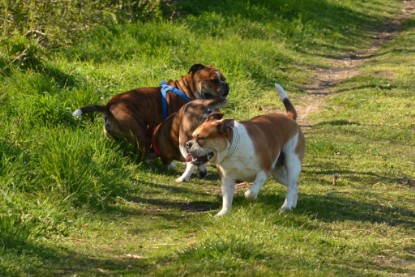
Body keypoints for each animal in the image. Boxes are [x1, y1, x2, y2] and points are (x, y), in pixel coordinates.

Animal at [71, 63, 228, 156]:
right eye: (213, 80)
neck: (187, 88)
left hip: (111, 134)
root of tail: (109, 106)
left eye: (223, 79)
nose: (226, 84)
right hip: (137, 129)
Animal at [185, 83, 306, 216]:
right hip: (277, 173)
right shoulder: (227, 179)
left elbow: (251, 192)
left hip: (292, 163)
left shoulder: (264, 170)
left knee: (291, 186)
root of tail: (289, 118)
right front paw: (223, 213)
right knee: (293, 185)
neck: (233, 151)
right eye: (191, 137)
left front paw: (248, 194)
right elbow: (227, 198)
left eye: (201, 138)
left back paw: (286, 206)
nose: (188, 144)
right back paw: (292, 205)